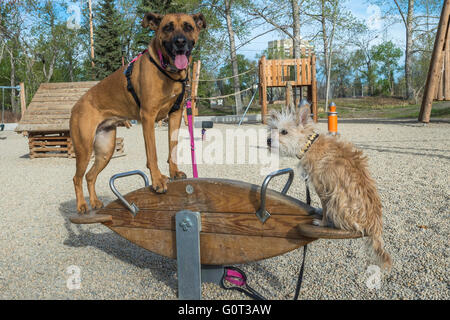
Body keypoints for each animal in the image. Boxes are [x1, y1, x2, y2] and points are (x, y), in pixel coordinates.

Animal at [70, 13, 206, 212]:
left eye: (188, 27)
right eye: (167, 27)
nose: (180, 42)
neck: (167, 70)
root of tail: (75, 106)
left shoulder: (175, 115)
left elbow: (172, 148)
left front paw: (174, 172)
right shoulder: (148, 116)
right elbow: (153, 154)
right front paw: (158, 180)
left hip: (105, 149)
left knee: (90, 176)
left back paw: (94, 202)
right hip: (84, 148)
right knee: (77, 177)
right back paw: (81, 205)